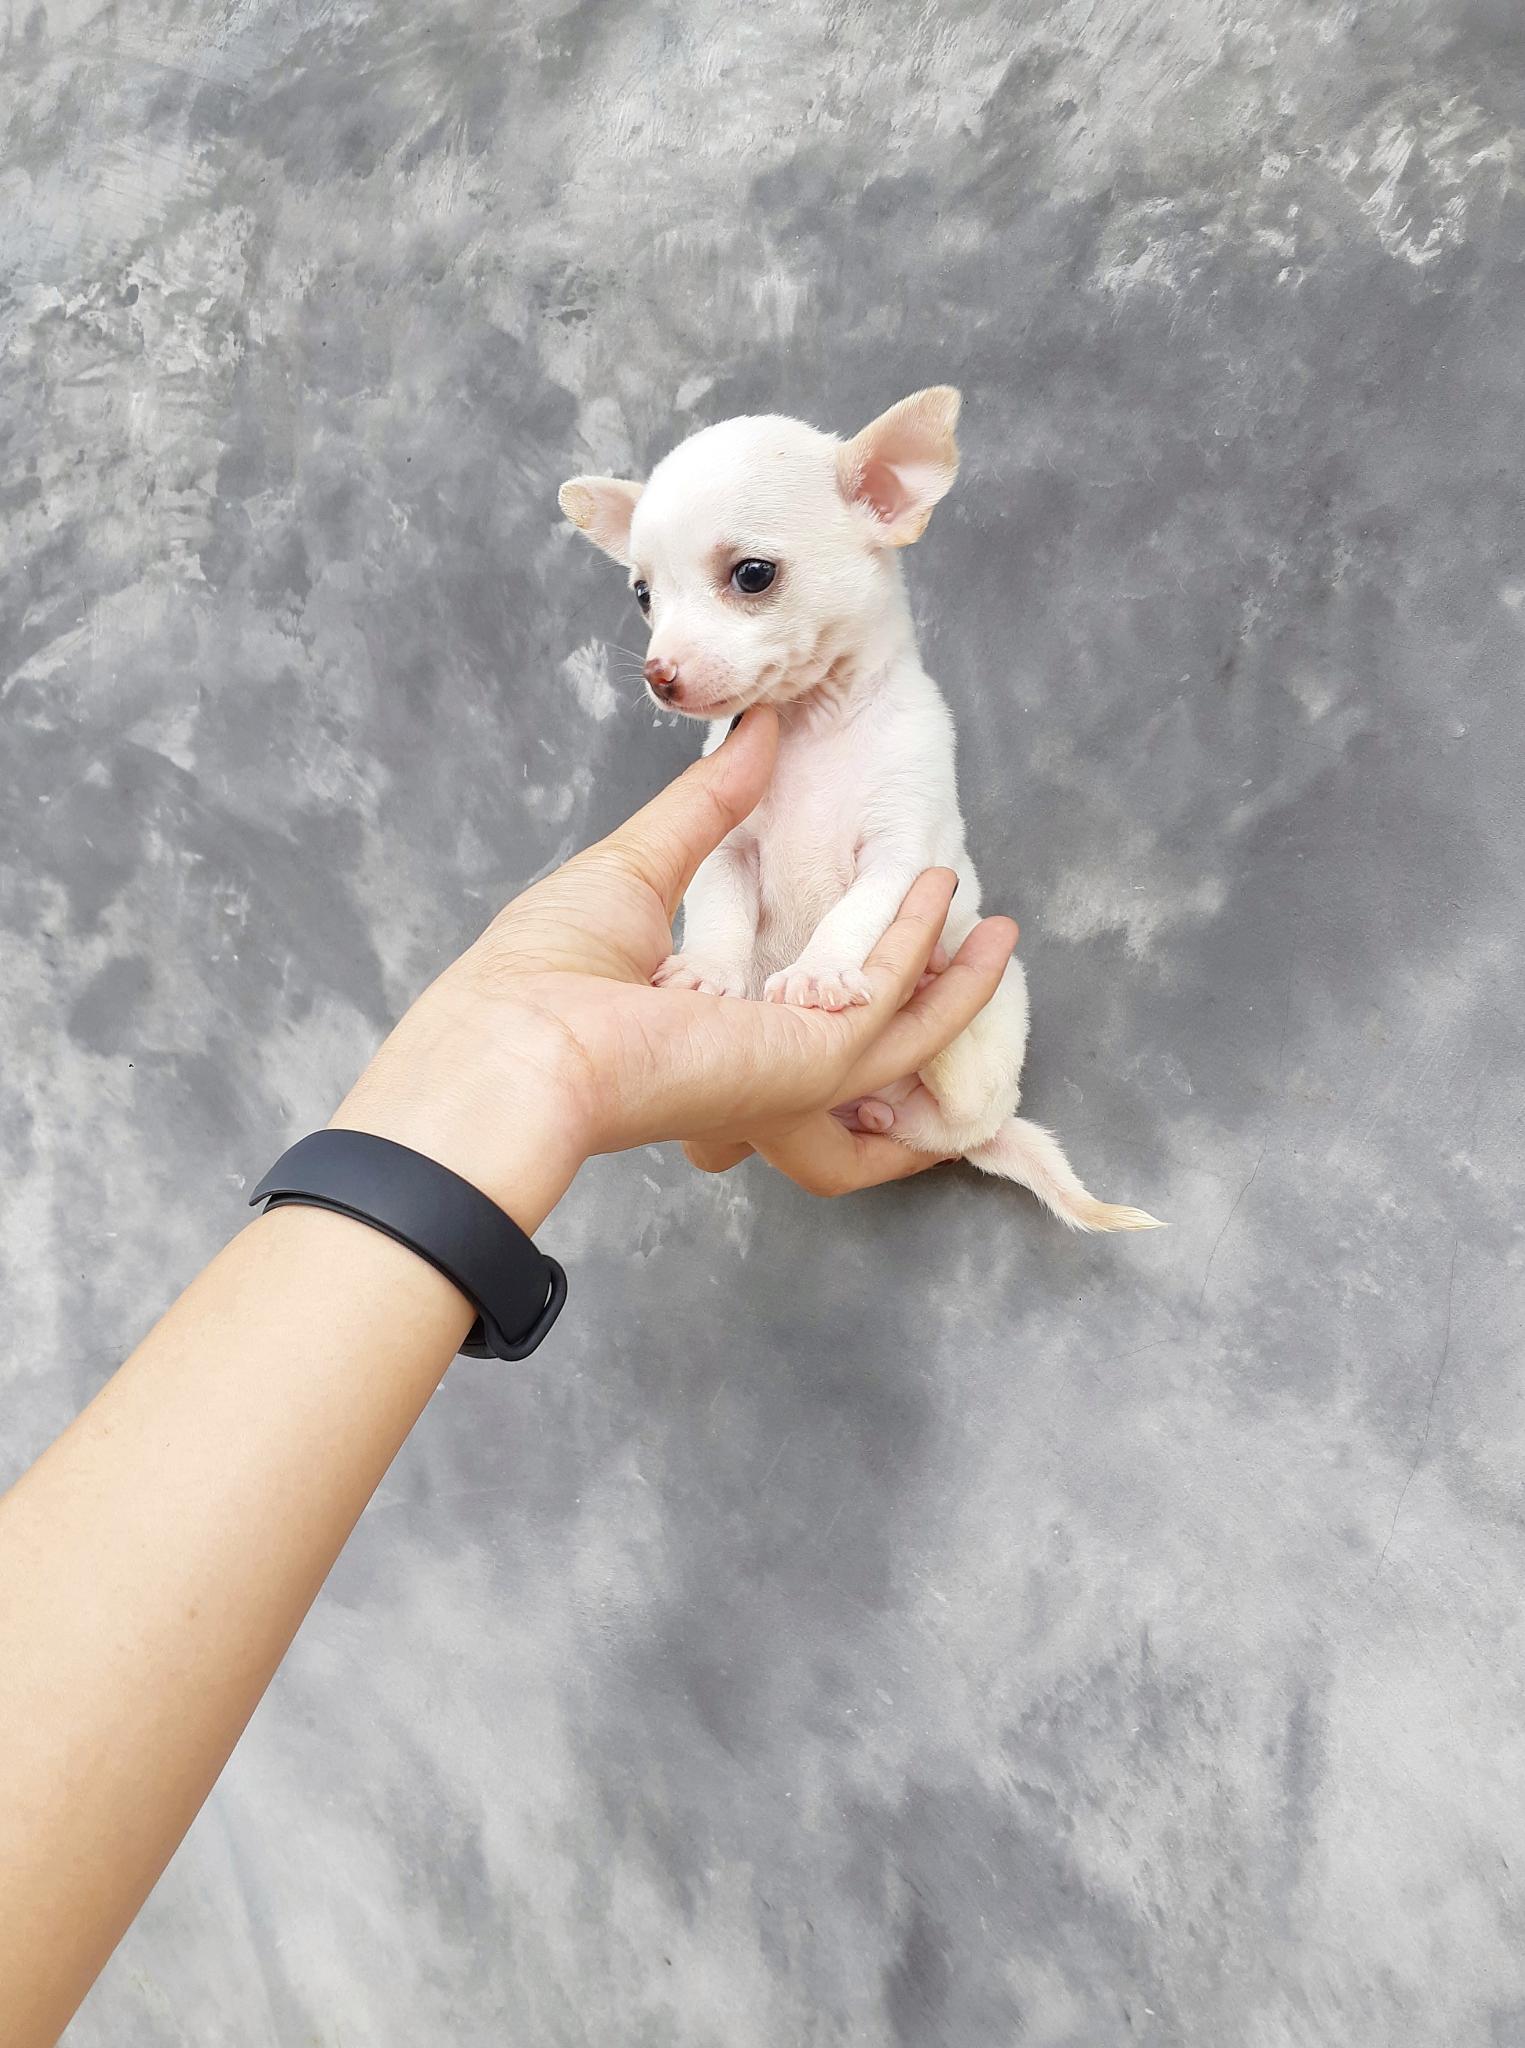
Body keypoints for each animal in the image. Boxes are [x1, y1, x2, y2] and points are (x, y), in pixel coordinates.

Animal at [559, 388, 1162, 1231]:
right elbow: (717, 911)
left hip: (982, 1039)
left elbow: (854, 911)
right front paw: (708, 969)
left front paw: (819, 972)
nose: (659, 674)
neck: (812, 727)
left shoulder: (897, 852)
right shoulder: (727, 851)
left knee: (954, 1121)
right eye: (643, 595)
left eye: (751, 575)